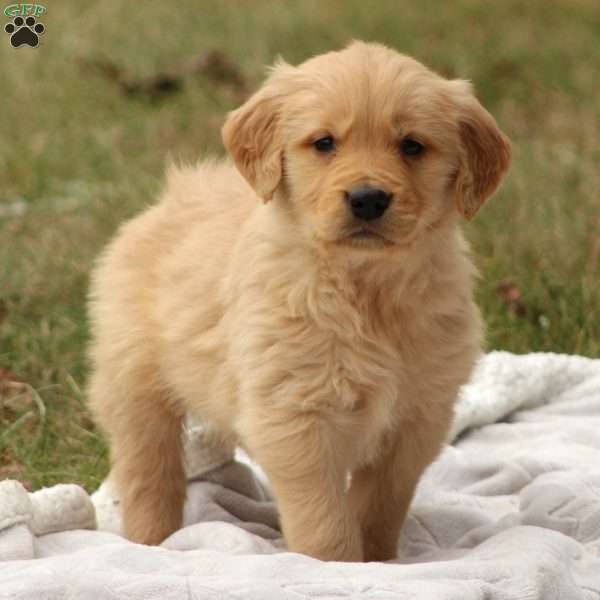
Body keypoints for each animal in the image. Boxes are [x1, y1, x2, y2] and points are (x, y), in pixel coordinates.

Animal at [89, 41, 510, 564]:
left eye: (412, 145)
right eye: (324, 143)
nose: (368, 199)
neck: (364, 290)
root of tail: (174, 194)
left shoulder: (417, 419)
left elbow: (380, 503)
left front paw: (381, 562)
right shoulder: (296, 418)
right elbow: (325, 520)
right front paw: (335, 568)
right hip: (133, 383)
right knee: (149, 471)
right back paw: (154, 543)